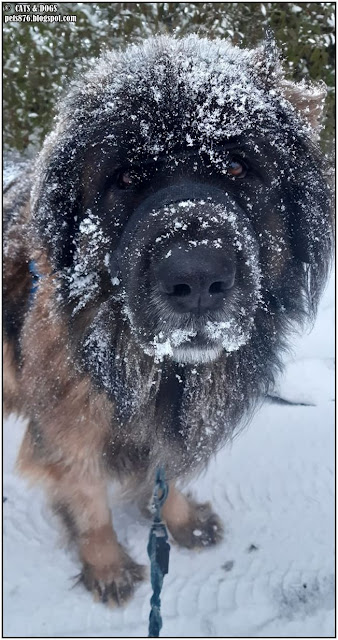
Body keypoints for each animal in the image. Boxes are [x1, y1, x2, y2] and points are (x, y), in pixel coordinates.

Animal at [3, 35, 332, 604]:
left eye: (238, 168)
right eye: (126, 177)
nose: (196, 279)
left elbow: (166, 472)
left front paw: (179, 522)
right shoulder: (68, 425)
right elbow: (88, 496)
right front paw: (107, 564)